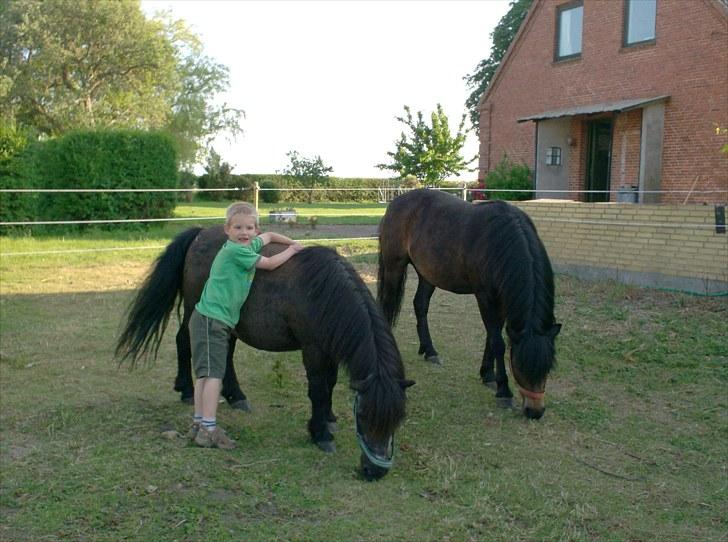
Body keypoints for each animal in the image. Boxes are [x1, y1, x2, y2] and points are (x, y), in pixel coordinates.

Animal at [116, 227, 412, 482]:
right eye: (363, 417)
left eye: (398, 420)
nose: (374, 471)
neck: (325, 295)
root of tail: (200, 234)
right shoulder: (313, 349)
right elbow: (318, 389)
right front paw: (320, 434)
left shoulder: (328, 350)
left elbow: (329, 385)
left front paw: (329, 419)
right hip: (194, 311)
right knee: (184, 343)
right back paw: (187, 390)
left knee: (226, 356)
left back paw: (236, 396)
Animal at [378, 189, 560, 422]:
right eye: (519, 365)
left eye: (548, 367)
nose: (535, 411)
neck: (500, 240)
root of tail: (396, 202)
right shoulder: (485, 296)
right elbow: (498, 342)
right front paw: (504, 391)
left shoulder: (501, 300)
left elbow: (492, 338)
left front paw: (488, 375)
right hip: (394, 266)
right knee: (386, 305)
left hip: (428, 273)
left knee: (420, 305)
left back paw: (430, 351)